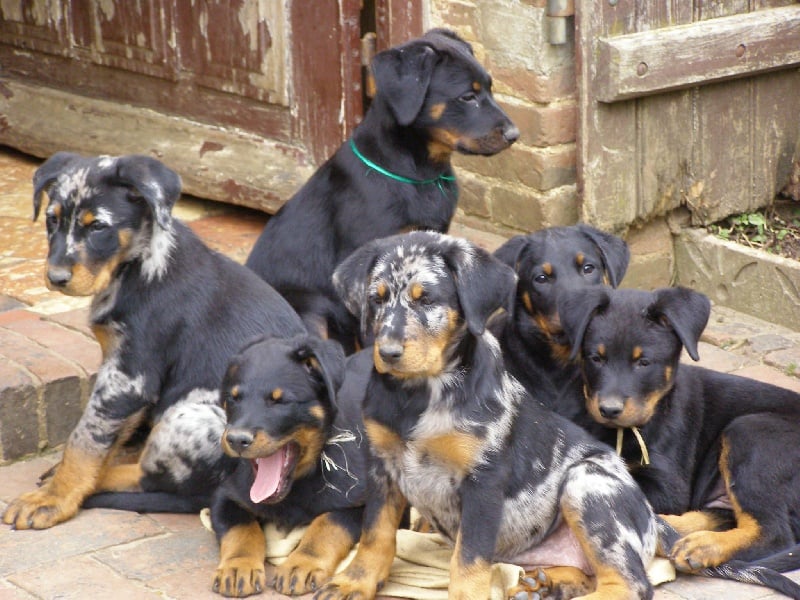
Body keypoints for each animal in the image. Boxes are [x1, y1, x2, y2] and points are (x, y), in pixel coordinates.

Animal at [3, 151, 304, 528]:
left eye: (98, 226)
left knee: (156, 478)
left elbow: (85, 440)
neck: (136, 264)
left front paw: (54, 498)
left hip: (193, 415)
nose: (55, 278)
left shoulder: (129, 377)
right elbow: (111, 436)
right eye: (51, 219)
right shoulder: (123, 372)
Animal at [208, 336, 368, 596]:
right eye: (233, 398)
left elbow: (327, 524)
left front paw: (301, 564)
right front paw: (239, 566)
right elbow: (241, 528)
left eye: (279, 401)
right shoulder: (227, 495)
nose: (236, 440)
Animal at [560, 288, 800, 576]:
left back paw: (702, 546)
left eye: (644, 362)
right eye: (596, 358)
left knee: (774, 533)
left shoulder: (669, 486)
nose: (609, 409)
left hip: (751, 434)